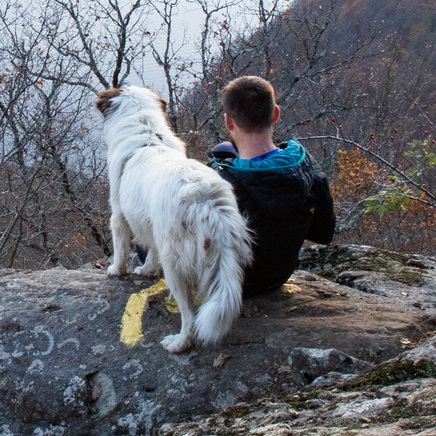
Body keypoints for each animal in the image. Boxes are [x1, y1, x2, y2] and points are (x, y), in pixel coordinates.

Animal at [95, 86, 252, 354]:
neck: (146, 135)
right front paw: (146, 270)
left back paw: (179, 343)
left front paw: (117, 269)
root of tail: (203, 200)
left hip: (175, 264)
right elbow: (151, 252)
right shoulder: (152, 226)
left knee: (189, 314)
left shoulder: (119, 214)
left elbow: (120, 246)